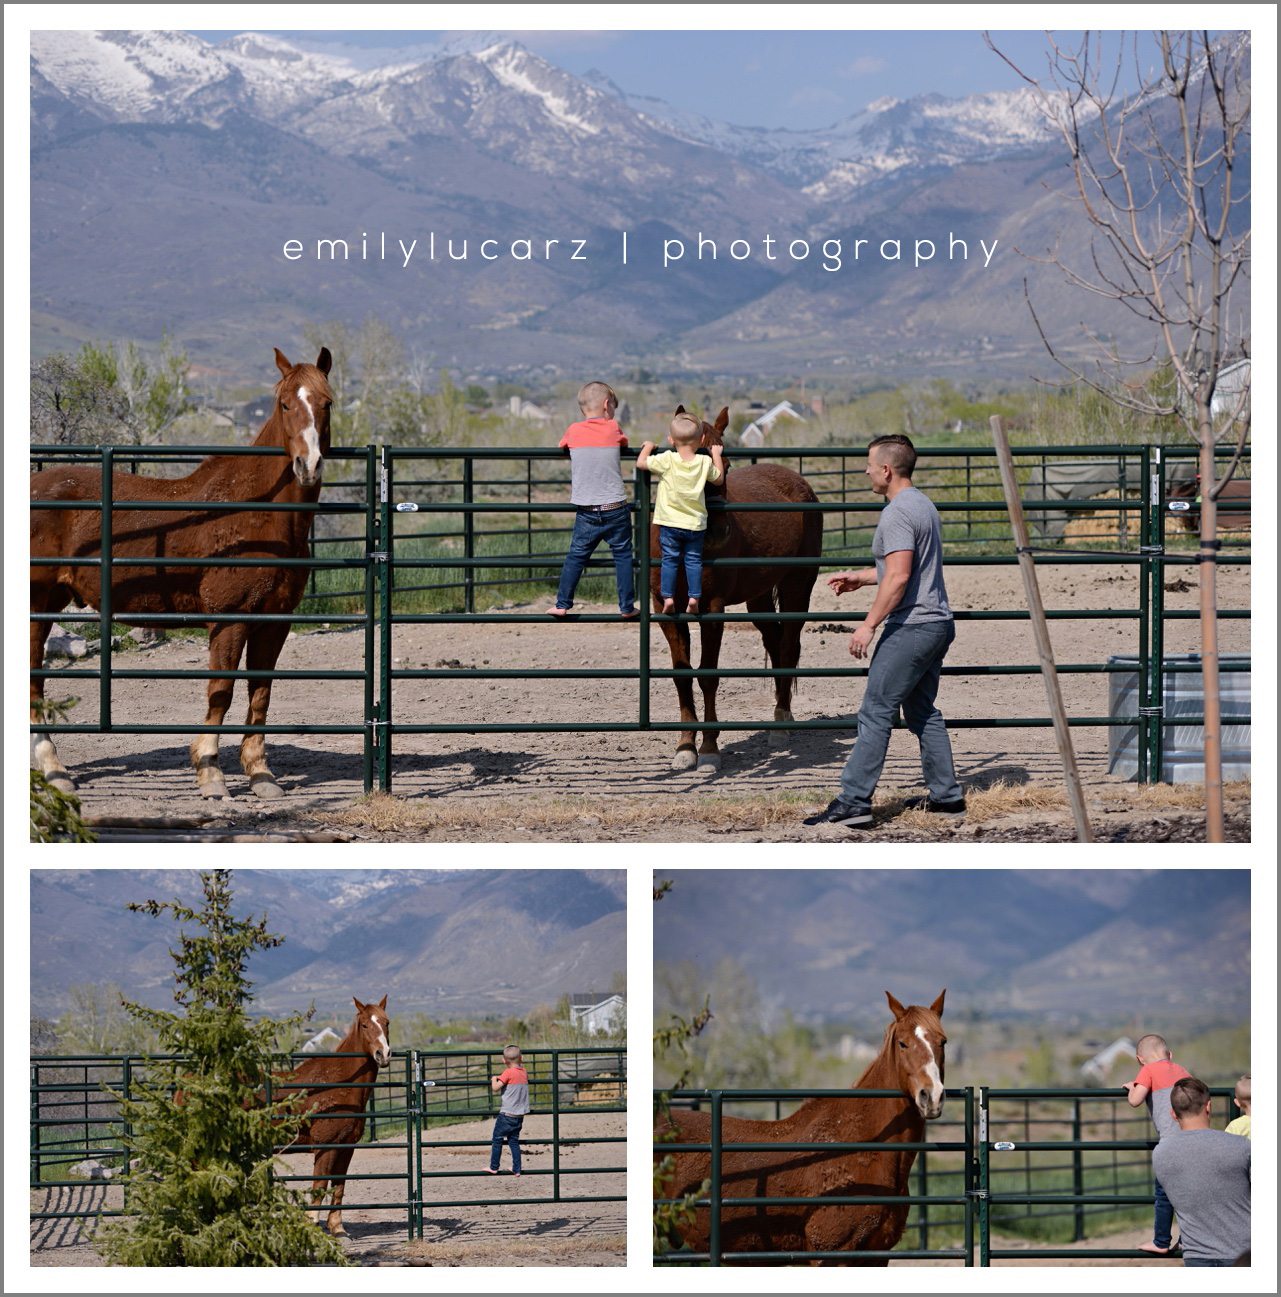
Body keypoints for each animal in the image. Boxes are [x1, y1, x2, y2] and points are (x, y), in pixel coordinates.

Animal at [29, 345, 331, 793]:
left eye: (326, 403)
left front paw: (260, 773)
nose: (307, 465)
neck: (259, 514)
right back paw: (54, 769)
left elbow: (260, 693)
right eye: (285, 404)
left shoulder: (274, 620)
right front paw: (211, 773)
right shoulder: (229, 620)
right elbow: (221, 692)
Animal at [281, 990, 391, 1234]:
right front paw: (313, 1225)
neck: (338, 1084)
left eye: (387, 1022)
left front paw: (338, 1228)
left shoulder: (346, 1146)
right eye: (364, 1025)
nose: (384, 1054)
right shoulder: (325, 1146)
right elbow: (321, 1185)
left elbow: (338, 1185)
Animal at [650, 404, 819, 767]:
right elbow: (682, 675)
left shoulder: (712, 608)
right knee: (775, 642)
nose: (718, 531)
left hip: (797, 585)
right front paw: (685, 748)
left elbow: (707, 675)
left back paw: (781, 723)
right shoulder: (666, 609)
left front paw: (709, 749)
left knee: (788, 646)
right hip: (759, 598)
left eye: (724, 466)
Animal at [656, 990, 943, 1265]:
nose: (932, 1096)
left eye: (943, 1042)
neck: (863, 1147)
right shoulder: (831, 1256)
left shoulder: (875, 1256)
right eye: (902, 1043)